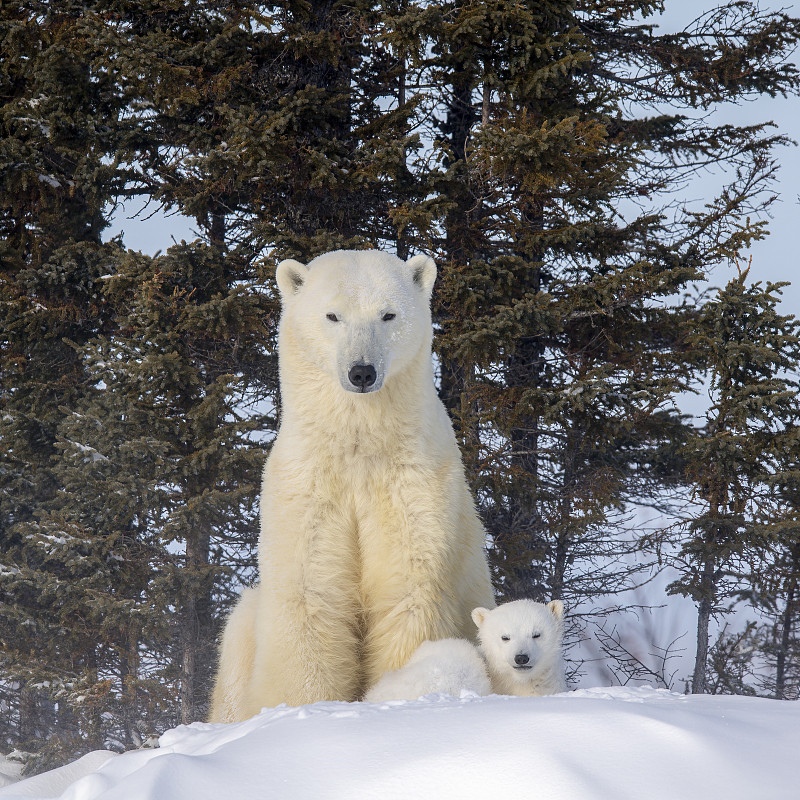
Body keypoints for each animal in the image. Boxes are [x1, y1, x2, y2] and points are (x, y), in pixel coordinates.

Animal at [208, 252, 494, 724]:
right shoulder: (308, 485)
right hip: (241, 636)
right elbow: (312, 594)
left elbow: (407, 591)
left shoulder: (413, 487)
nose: (362, 372)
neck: (359, 447)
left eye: (388, 314)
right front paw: (303, 706)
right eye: (332, 315)